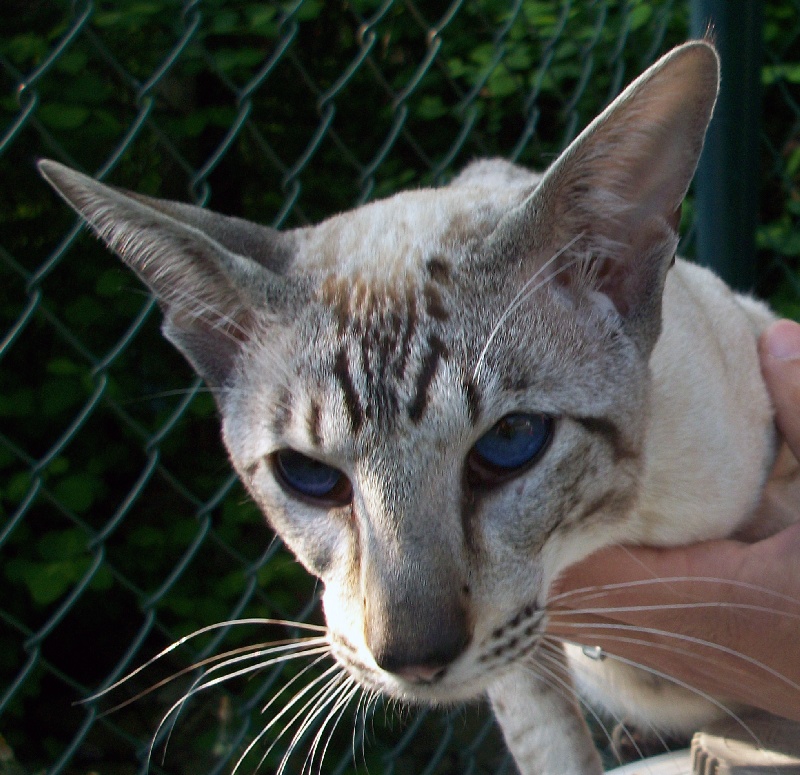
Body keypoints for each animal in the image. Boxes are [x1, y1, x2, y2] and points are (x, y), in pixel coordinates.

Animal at [37, 42, 792, 775]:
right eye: (307, 476)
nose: (414, 660)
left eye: (512, 441)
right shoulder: (526, 668)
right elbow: (551, 747)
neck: (617, 528)